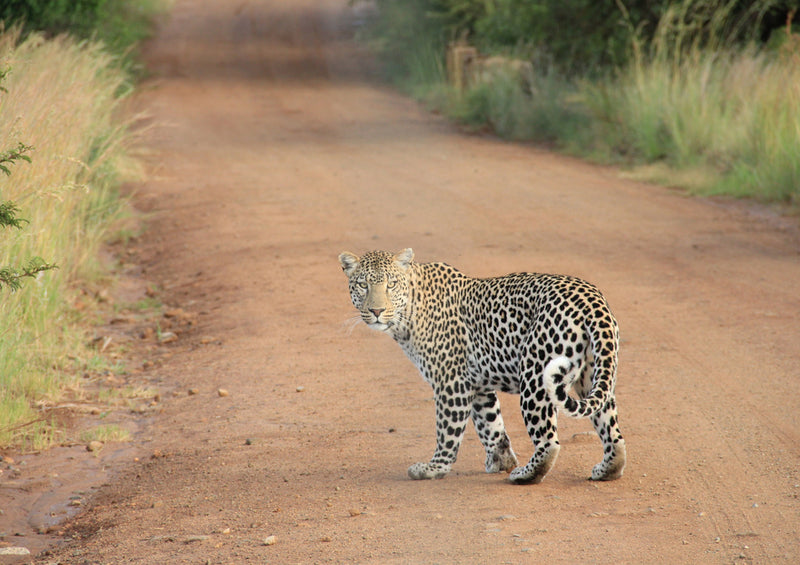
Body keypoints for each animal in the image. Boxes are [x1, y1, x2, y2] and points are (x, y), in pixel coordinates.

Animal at [338, 248, 624, 484]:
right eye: (363, 285)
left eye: (391, 284)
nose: (376, 311)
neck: (408, 314)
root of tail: (592, 300)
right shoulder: (477, 384)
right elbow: (491, 424)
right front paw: (501, 460)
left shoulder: (450, 382)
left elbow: (447, 430)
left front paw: (434, 468)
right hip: (593, 374)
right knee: (612, 431)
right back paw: (607, 469)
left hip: (536, 376)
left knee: (549, 441)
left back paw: (525, 474)